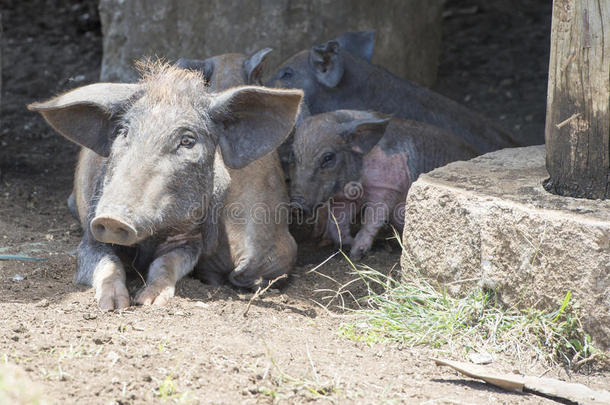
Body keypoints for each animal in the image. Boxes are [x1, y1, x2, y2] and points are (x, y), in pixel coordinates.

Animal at [27, 62, 302, 310]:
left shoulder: (190, 238)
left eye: (187, 141)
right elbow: (106, 263)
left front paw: (149, 301)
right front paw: (113, 305)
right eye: (123, 132)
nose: (113, 219)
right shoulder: (92, 233)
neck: (149, 238)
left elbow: (166, 264)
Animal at [288, 109, 478, 258]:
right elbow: (337, 223)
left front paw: (357, 253)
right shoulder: (343, 198)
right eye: (294, 156)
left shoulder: (387, 187)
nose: (296, 205)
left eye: (328, 157)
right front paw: (347, 245)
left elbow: (373, 218)